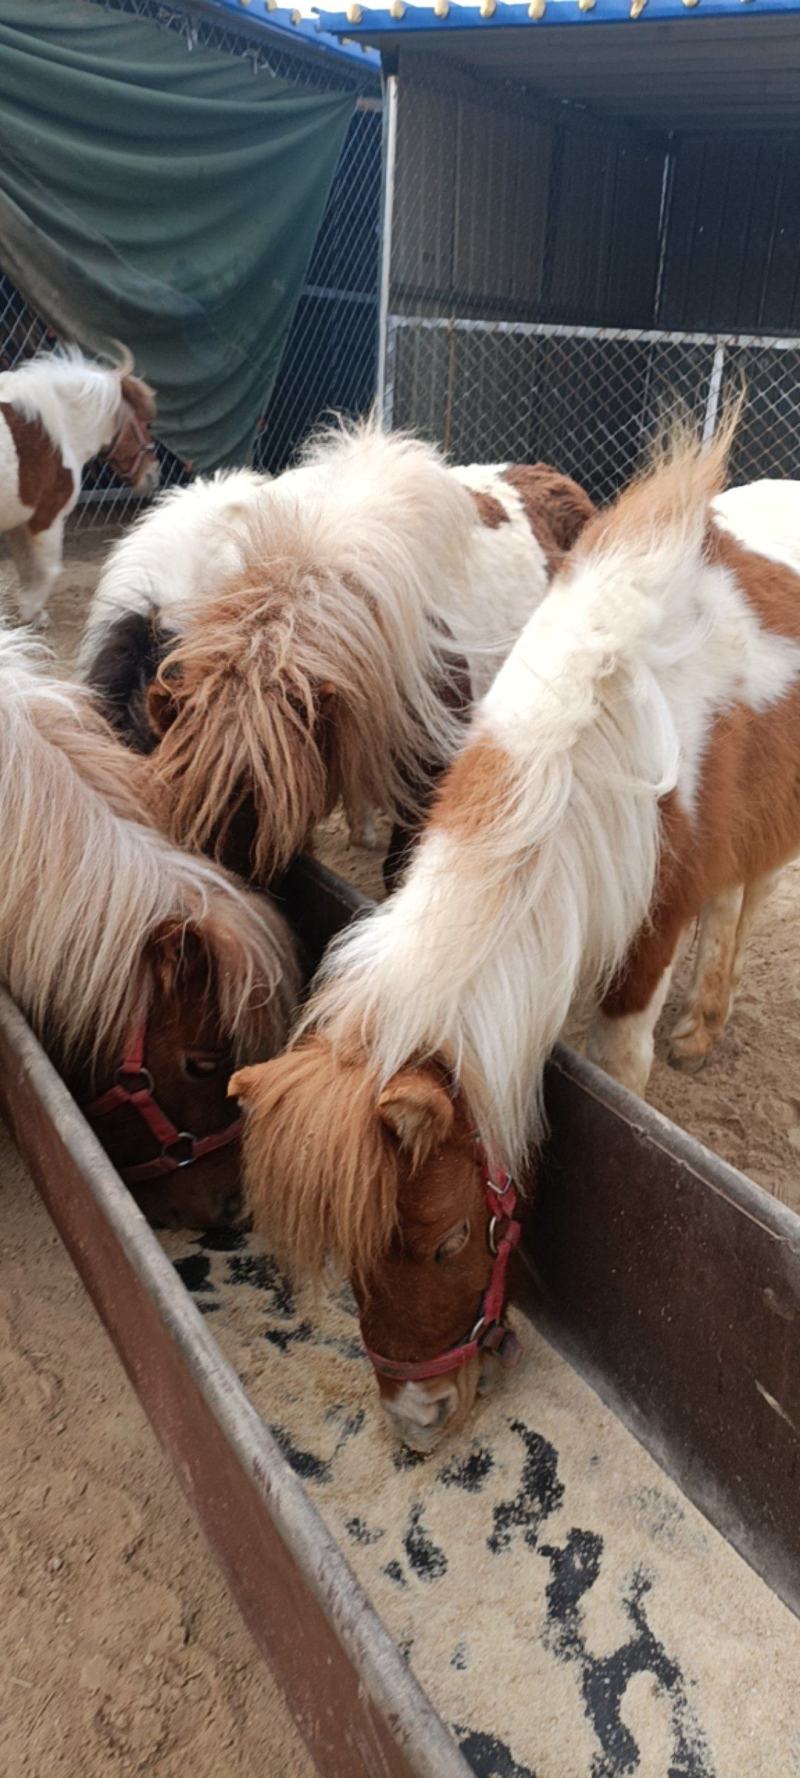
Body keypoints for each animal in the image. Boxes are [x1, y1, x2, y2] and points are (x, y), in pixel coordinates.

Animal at [0, 345, 159, 626]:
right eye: (145, 424)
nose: (153, 474)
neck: (56, 430)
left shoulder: (19, 522)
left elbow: (26, 569)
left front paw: (31, 611)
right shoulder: (47, 519)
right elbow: (49, 570)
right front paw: (32, 613)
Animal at [230, 417, 800, 1452]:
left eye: (450, 1238)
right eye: (350, 1256)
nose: (416, 1422)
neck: (607, 726)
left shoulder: (650, 939)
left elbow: (626, 1058)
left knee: (744, 899)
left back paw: (704, 1024)